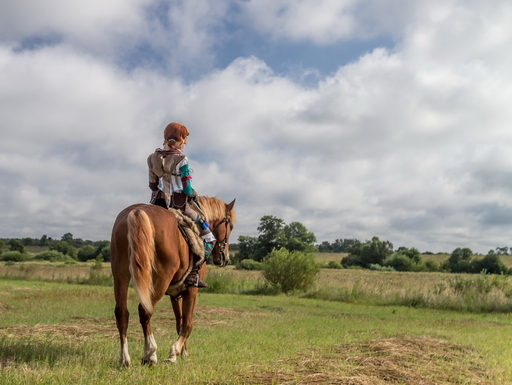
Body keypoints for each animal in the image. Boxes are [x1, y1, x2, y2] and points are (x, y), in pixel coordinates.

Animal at [110, 195, 236, 366]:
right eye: (230, 225)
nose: (225, 258)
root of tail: (137, 211)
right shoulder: (192, 290)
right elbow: (187, 323)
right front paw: (174, 352)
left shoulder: (175, 294)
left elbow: (179, 322)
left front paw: (183, 352)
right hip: (161, 279)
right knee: (145, 311)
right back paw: (150, 354)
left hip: (120, 274)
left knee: (122, 313)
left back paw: (124, 359)